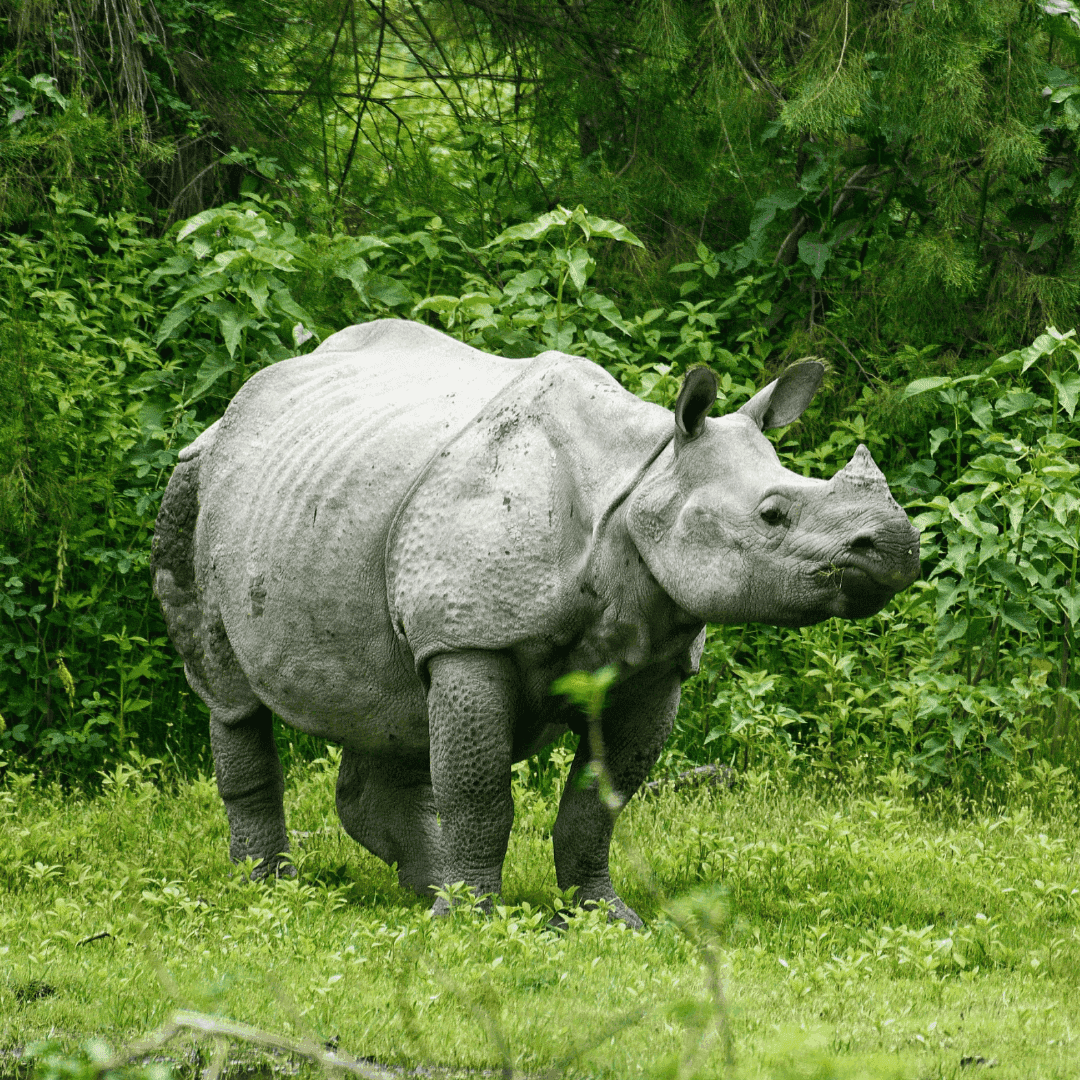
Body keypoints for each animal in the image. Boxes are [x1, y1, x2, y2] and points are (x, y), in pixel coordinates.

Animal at [152, 318, 920, 926]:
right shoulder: (470, 637)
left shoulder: (654, 663)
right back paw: (273, 890)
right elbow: (479, 791)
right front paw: (473, 922)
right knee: (232, 696)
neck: (644, 478)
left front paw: (605, 918)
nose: (895, 546)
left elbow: (597, 806)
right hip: (197, 482)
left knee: (391, 702)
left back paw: (423, 889)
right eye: (773, 514)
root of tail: (234, 410)